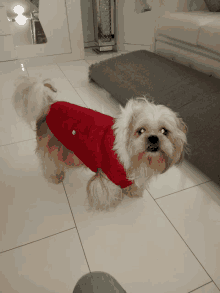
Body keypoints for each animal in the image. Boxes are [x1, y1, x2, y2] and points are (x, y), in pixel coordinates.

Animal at [12, 74, 188, 209]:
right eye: (141, 130)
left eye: (164, 131)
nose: (153, 138)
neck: (135, 159)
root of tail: (48, 106)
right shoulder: (108, 174)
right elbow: (107, 191)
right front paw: (111, 204)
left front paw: (133, 192)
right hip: (51, 146)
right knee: (48, 162)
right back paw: (55, 176)